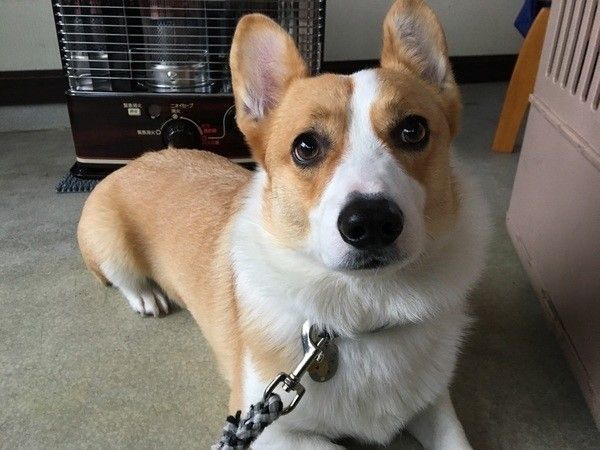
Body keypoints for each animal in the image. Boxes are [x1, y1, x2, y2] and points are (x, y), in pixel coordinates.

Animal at [77, 1, 489, 448]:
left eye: (413, 130)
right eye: (306, 146)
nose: (372, 222)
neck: (364, 310)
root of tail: (140, 158)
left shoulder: (434, 402)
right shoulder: (270, 429)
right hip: (109, 241)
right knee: (123, 277)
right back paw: (146, 295)